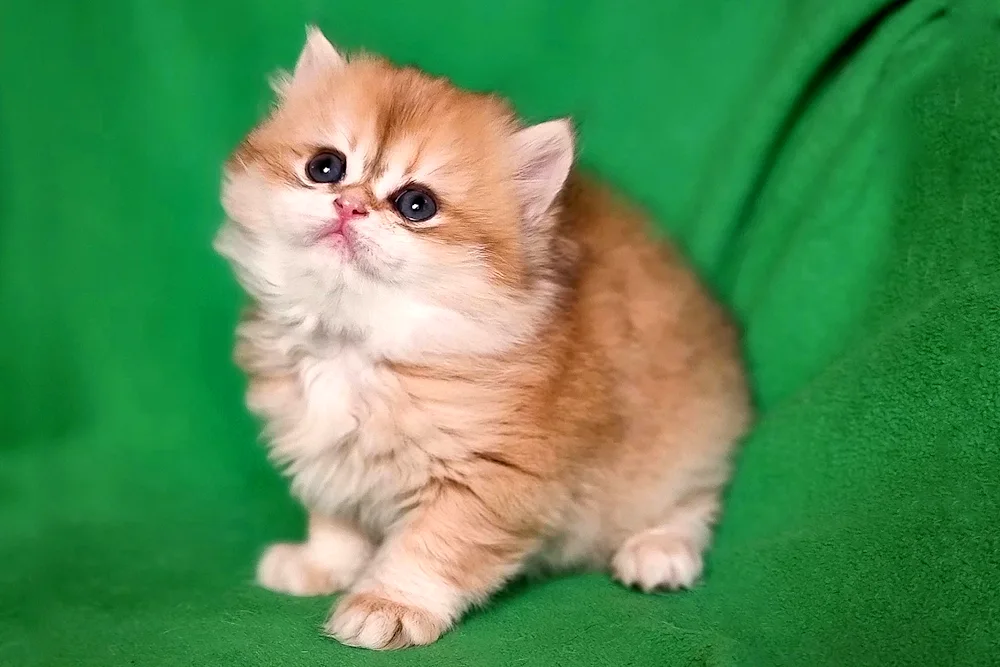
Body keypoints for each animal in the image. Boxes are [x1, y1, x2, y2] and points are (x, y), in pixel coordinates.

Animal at [215, 26, 752, 652]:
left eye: (416, 205)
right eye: (325, 167)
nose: (348, 205)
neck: (354, 343)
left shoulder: (488, 479)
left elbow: (429, 551)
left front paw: (386, 605)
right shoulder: (327, 458)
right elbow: (336, 521)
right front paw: (321, 566)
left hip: (685, 434)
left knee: (694, 498)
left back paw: (659, 550)